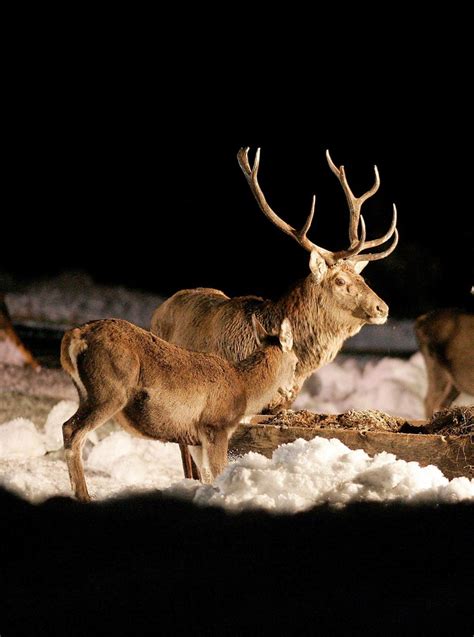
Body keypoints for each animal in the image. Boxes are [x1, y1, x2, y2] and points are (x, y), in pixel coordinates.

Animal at [60, 316, 294, 500]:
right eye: (295, 362)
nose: (291, 391)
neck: (244, 389)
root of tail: (75, 335)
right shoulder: (215, 426)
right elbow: (219, 471)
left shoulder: (195, 437)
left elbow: (206, 476)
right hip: (109, 391)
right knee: (71, 429)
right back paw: (84, 496)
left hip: (87, 393)